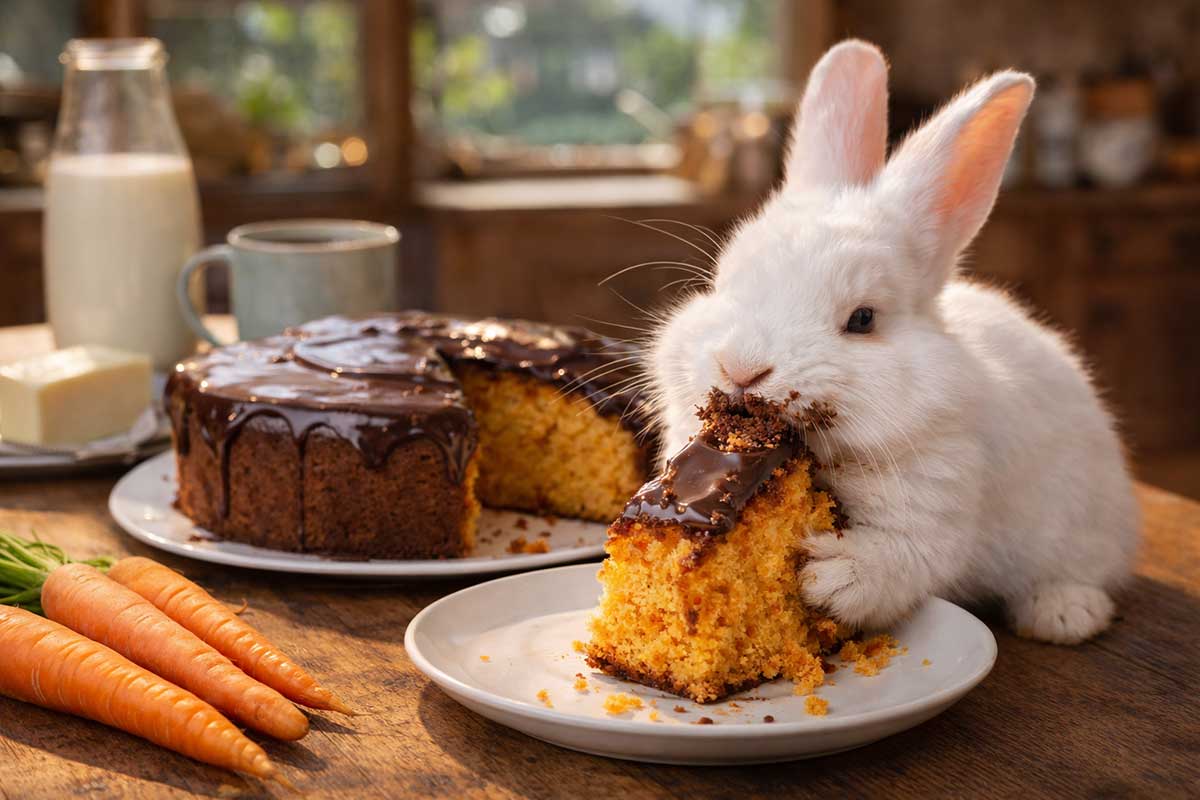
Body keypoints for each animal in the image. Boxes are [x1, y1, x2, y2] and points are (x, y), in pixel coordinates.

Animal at [646, 40, 1139, 645]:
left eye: (862, 319)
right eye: (725, 285)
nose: (741, 369)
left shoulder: (938, 503)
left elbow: (897, 560)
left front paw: (826, 578)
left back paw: (1065, 613)